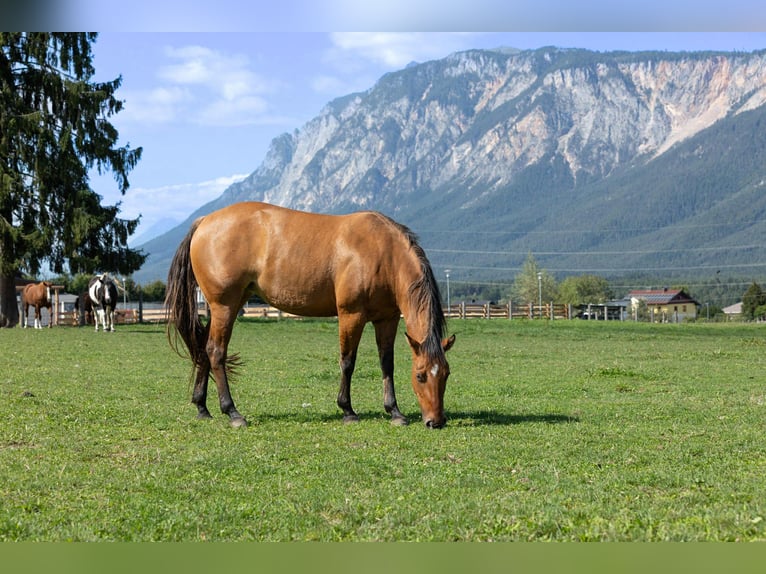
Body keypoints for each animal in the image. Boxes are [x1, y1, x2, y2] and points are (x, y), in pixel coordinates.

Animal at [165, 201, 455, 429]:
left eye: (446, 374)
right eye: (420, 375)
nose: (435, 421)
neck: (383, 253)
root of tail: (204, 221)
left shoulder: (387, 319)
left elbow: (387, 363)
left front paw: (394, 412)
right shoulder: (351, 314)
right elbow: (347, 362)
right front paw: (347, 410)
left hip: (227, 306)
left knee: (203, 348)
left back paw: (202, 407)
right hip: (224, 306)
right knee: (215, 351)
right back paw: (233, 412)